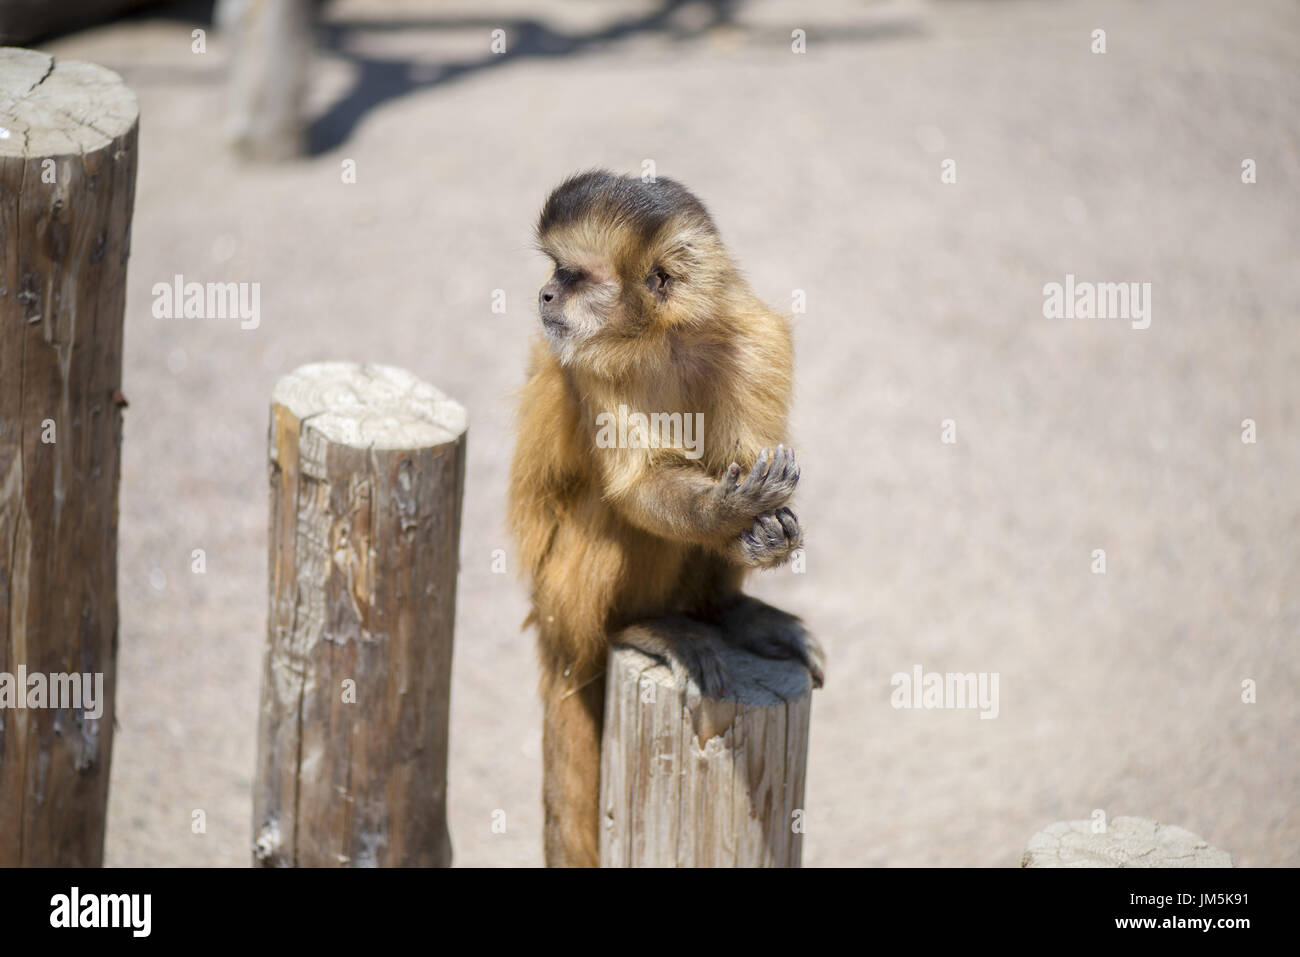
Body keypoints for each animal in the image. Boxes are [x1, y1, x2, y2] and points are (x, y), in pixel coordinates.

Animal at [506, 171, 821, 868]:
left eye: (572, 275)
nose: (544, 292)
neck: (662, 337)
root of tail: (552, 628)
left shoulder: (754, 338)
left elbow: (748, 462)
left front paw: (764, 532)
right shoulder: (588, 365)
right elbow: (638, 491)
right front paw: (730, 509)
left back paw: (724, 613)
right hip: (562, 597)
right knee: (617, 517)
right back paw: (643, 628)